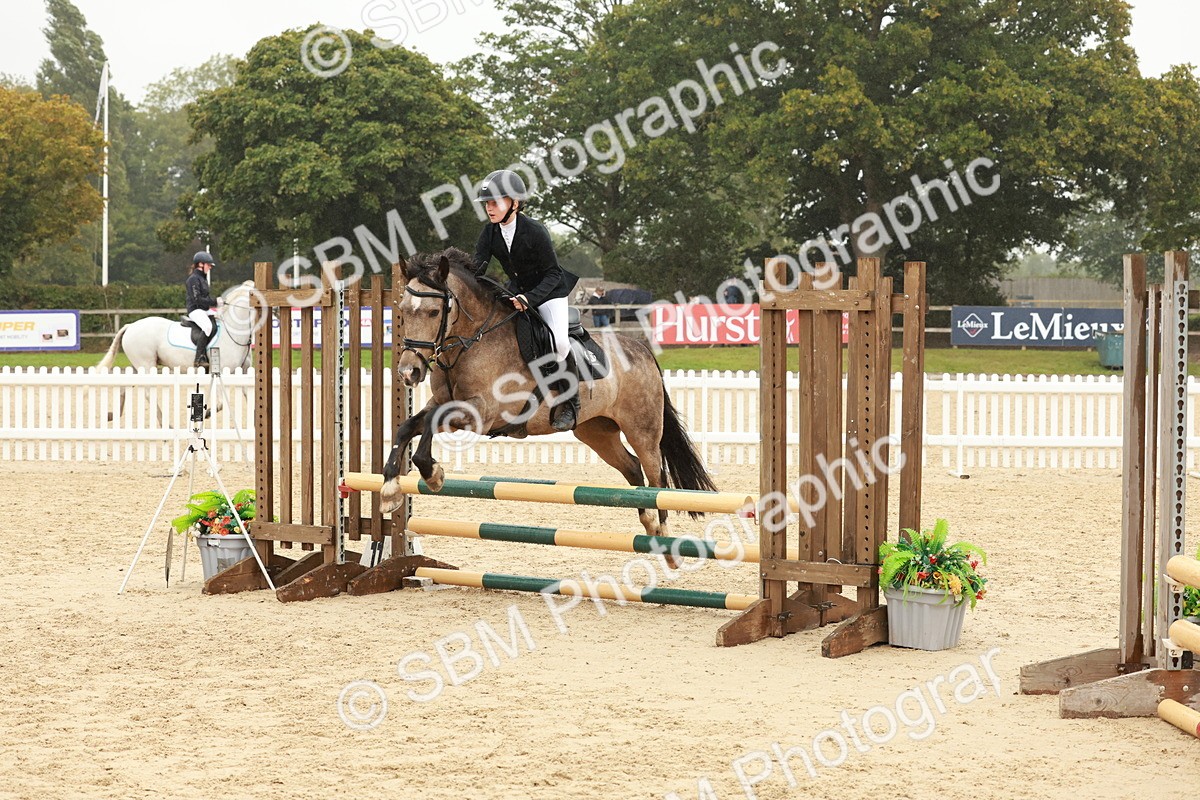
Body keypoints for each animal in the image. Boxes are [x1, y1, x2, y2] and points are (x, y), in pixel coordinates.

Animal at [380, 248, 716, 539]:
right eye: (402, 311)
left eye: (434, 312)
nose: (408, 372)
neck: (472, 343)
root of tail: (642, 349)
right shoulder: (443, 402)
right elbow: (407, 427)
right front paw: (389, 490)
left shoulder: (482, 413)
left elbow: (429, 424)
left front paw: (432, 473)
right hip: (596, 431)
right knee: (633, 469)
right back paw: (648, 523)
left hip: (642, 430)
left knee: (656, 476)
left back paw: (664, 536)